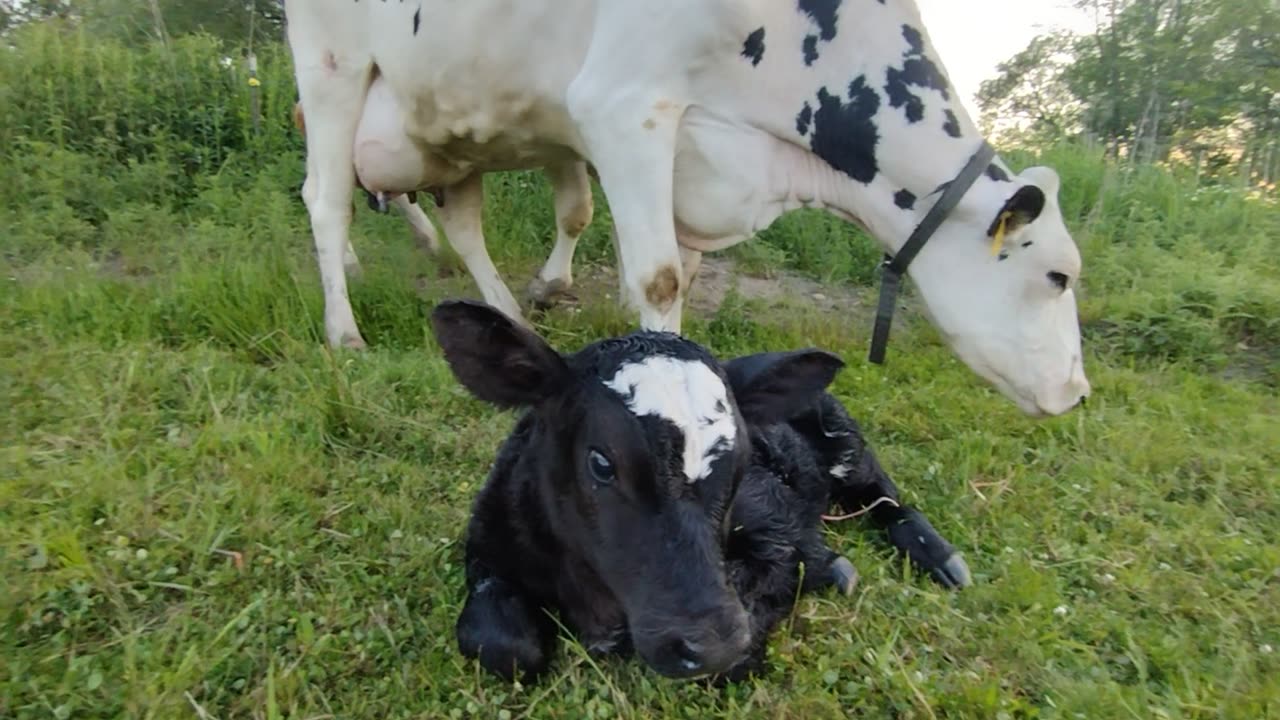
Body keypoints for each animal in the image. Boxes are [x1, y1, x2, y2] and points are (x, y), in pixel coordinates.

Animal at [432, 299, 967, 681]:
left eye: (744, 463)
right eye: (601, 462)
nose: (709, 645)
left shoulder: (772, 524)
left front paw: (824, 570)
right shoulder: (486, 544)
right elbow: (501, 646)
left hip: (844, 439)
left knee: (885, 494)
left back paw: (938, 558)